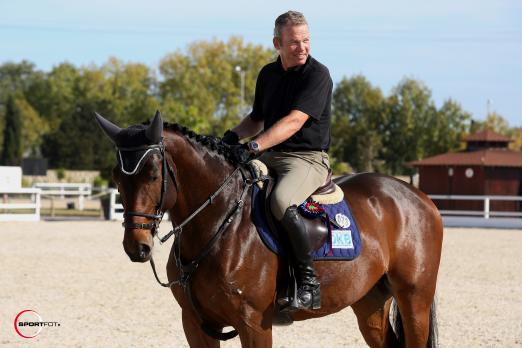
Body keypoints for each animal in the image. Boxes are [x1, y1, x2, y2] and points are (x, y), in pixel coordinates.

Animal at [94, 112, 442, 348]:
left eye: (153, 174)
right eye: (116, 176)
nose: (136, 246)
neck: (221, 224)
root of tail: (419, 196)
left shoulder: (254, 324)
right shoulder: (194, 323)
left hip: (414, 298)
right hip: (370, 300)